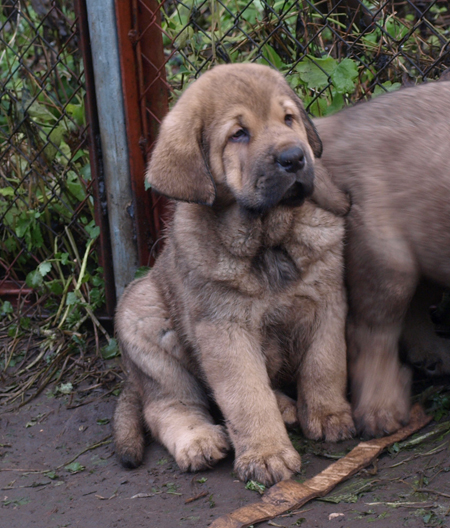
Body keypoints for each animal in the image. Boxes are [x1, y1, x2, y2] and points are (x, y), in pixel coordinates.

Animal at [113, 63, 356, 486]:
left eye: (288, 119)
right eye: (239, 134)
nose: (295, 157)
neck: (268, 240)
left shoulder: (327, 299)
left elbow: (325, 363)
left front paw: (328, 414)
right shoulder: (223, 328)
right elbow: (245, 395)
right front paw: (267, 454)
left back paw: (286, 406)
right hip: (143, 321)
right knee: (167, 406)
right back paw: (199, 441)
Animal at [312, 81, 450, 438]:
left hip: (423, 247)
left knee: (414, 307)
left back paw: (433, 355)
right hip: (386, 260)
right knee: (371, 333)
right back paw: (380, 411)